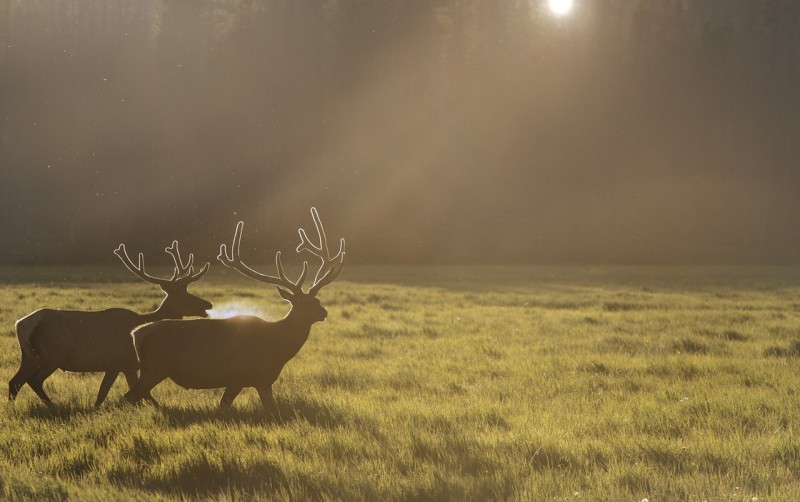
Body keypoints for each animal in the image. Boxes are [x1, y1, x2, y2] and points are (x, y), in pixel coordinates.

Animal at [10, 241, 209, 406]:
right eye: (184, 295)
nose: (207, 304)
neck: (143, 320)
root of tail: (22, 324)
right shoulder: (115, 361)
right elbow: (104, 394)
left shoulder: (129, 366)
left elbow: (143, 394)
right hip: (53, 354)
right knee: (33, 380)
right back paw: (52, 405)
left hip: (29, 356)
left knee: (15, 382)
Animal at [126, 207, 346, 408]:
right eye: (301, 304)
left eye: (317, 301)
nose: (324, 312)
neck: (276, 348)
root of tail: (137, 334)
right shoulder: (237, 376)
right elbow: (223, 406)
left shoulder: (264, 381)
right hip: (156, 368)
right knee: (128, 397)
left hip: (150, 369)